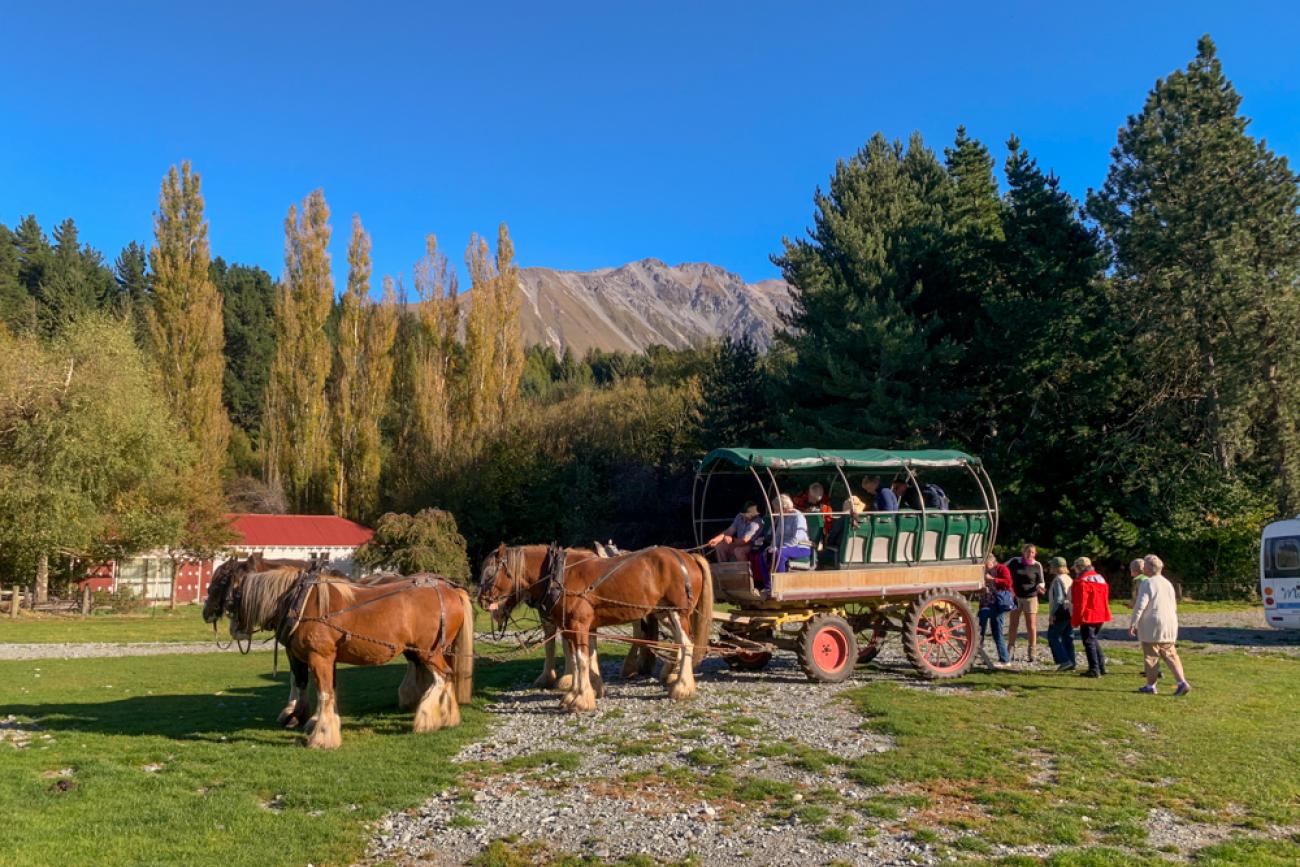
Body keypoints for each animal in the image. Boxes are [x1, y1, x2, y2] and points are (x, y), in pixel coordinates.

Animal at [210, 566, 475, 748]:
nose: (207, 613)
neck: (301, 602)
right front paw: (310, 721)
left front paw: (322, 735)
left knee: (443, 677)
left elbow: (324, 693)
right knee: (446, 677)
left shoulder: (320, 657)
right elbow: (321, 688)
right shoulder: (324, 658)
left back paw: (426, 718)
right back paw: (447, 717)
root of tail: (451, 589)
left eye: (220, 583)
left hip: (429, 652)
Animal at [483, 545, 717, 717]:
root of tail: (688, 556)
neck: (560, 576)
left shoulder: (578, 625)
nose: (482, 601)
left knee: (686, 644)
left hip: (678, 612)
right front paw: (579, 693)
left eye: (490, 573)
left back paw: (681, 687)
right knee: (680, 643)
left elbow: (581, 659)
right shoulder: (574, 626)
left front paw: (581, 699)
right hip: (666, 613)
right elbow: (581, 659)